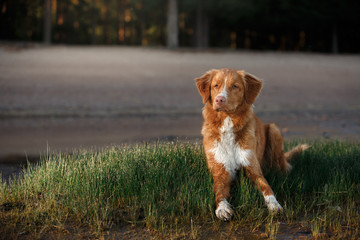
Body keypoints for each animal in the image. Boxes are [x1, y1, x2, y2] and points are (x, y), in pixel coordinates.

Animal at [195, 68, 308, 220]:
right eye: (216, 86)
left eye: (235, 86)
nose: (220, 100)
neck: (228, 121)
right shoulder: (221, 172)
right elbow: (219, 193)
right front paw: (222, 208)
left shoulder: (253, 168)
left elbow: (266, 187)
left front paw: (274, 205)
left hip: (274, 130)